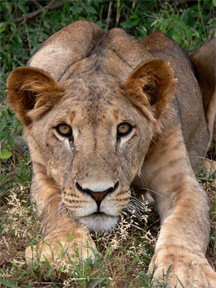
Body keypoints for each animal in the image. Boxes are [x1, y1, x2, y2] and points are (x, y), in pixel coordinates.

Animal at [5, 20, 216, 286]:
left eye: (124, 129)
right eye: (64, 130)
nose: (98, 193)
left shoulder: (179, 181)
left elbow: (186, 221)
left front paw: (185, 270)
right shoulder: (42, 174)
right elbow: (54, 208)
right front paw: (65, 251)